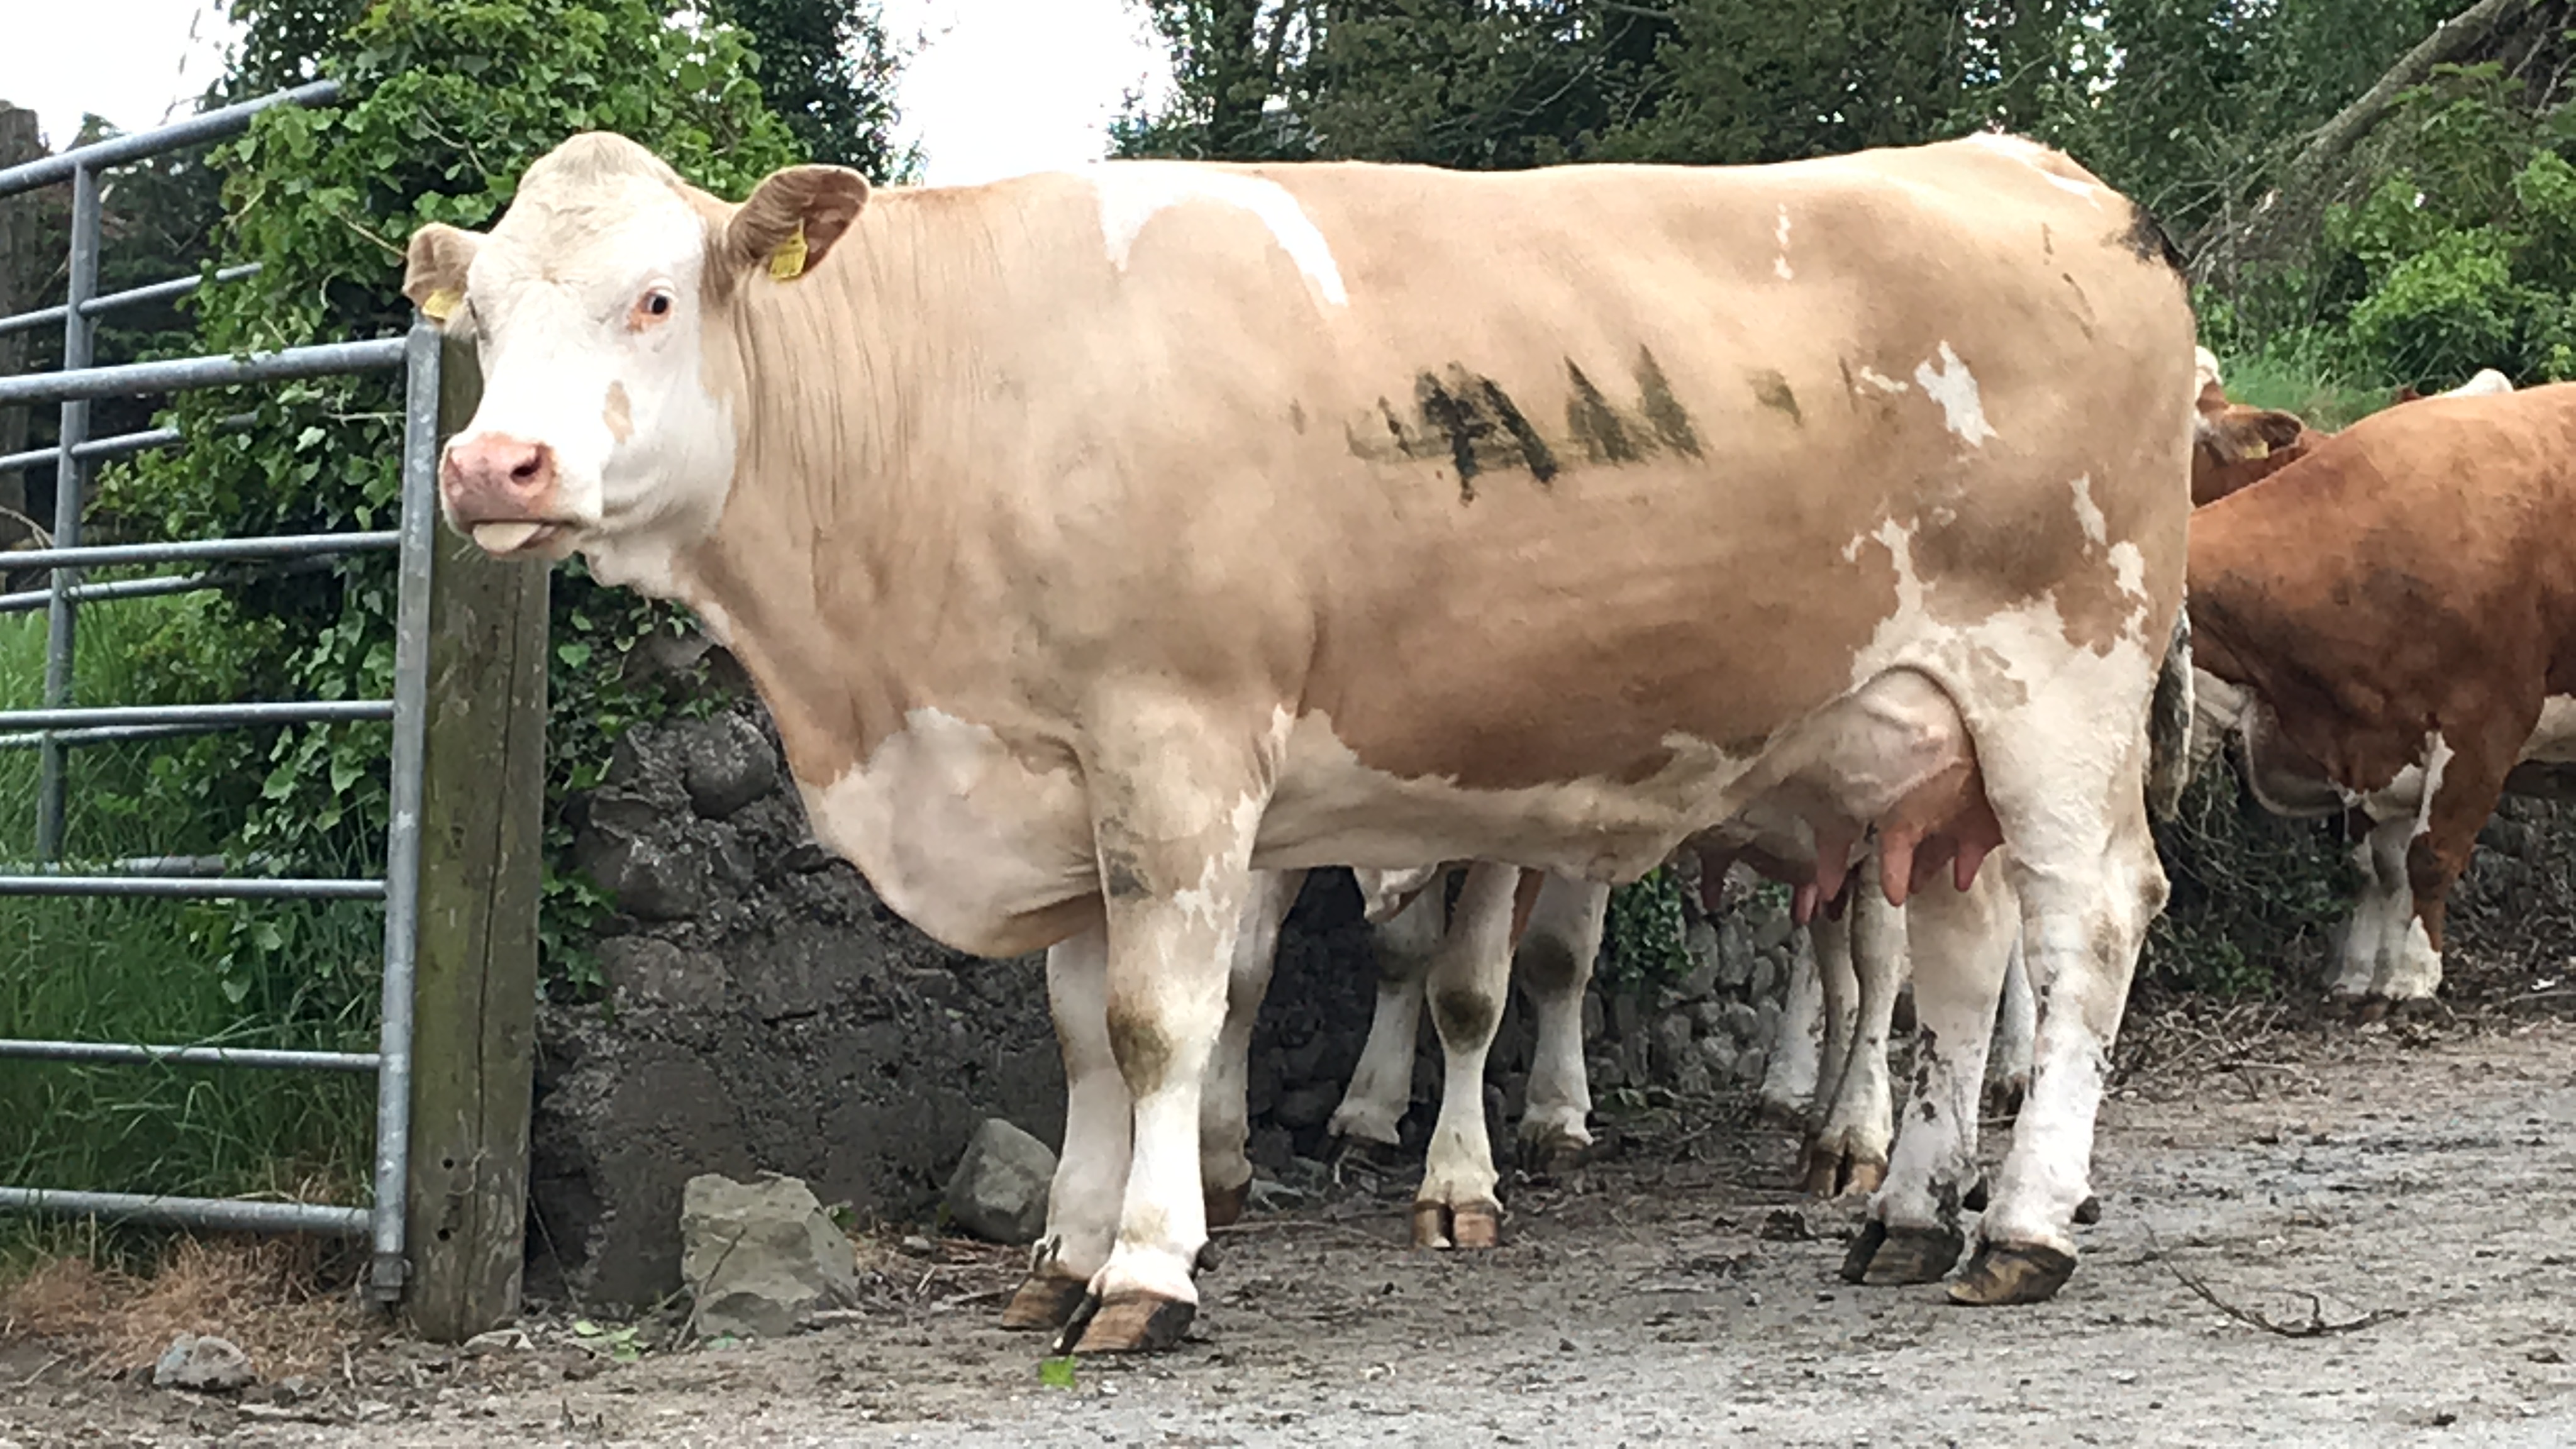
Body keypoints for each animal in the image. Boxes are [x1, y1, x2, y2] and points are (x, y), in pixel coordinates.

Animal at [406, 127, 2198, 1351]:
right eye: (478, 314)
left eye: (653, 297)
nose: (491, 467)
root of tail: (2021, 163)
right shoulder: (1062, 782)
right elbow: (1077, 1033)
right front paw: (1063, 1251)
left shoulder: (1176, 743)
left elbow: (1156, 1024)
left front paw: (1144, 1273)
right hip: (1935, 753)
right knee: (1964, 960)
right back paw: (1908, 1211)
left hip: (2064, 681)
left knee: (2087, 927)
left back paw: (2022, 1227)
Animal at [2187, 382, 2576, 1025]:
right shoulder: (2373, 738)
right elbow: (2377, 868)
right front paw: (2360, 975)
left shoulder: (2483, 727)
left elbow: (2430, 858)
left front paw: (2414, 977)